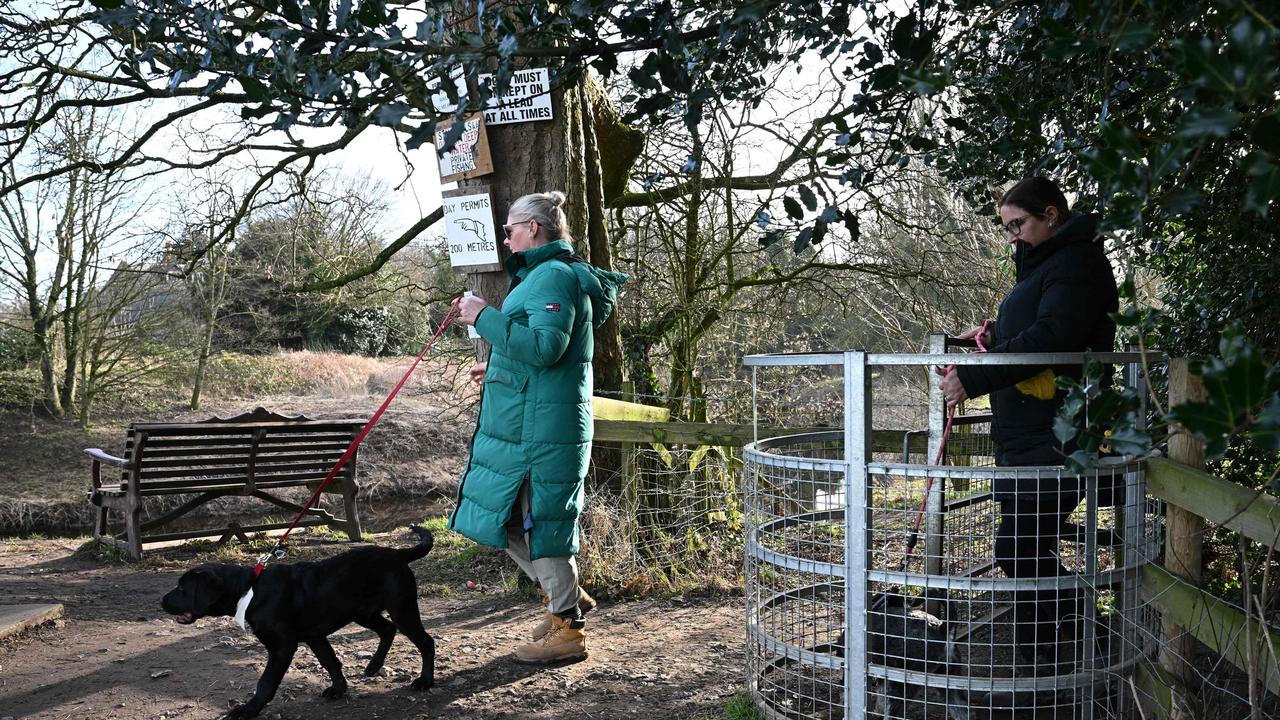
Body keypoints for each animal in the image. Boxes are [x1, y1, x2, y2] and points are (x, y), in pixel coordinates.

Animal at [161, 525, 435, 712]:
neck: (251, 589)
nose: (161, 601)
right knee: (387, 630)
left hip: (401, 609)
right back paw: (373, 665)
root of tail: (398, 554)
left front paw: (247, 710)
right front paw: (338, 689)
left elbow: (266, 683)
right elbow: (330, 662)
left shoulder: (282, 647)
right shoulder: (315, 636)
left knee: (425, 642)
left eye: (183, 589)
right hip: (363, 612)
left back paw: (425, 681)